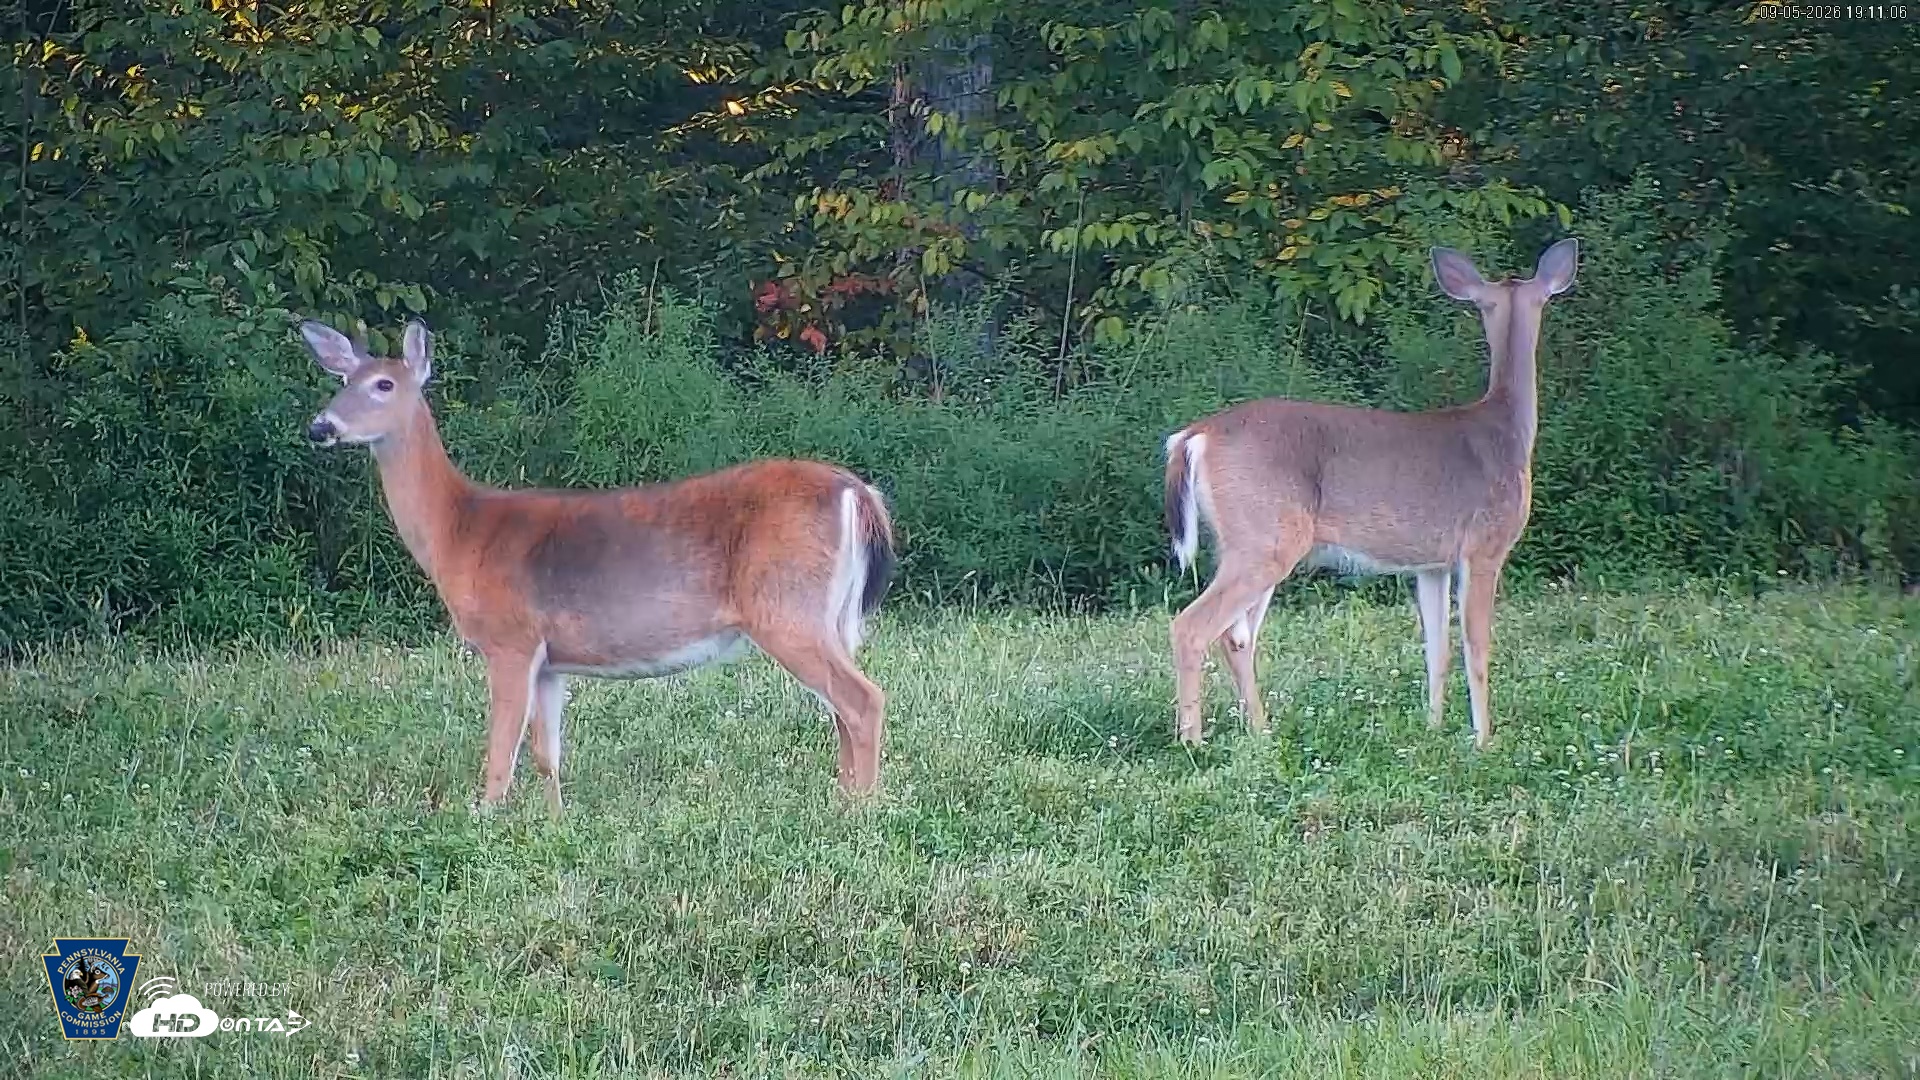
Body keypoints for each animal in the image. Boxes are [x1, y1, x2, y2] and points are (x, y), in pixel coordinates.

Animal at [298, 318, 896, 815]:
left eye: (383, 384)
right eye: (343, 378)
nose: (320, 427)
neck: (459, 530)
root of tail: (855, 490)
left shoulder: (510, 639)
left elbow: (500, 752)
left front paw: (483, 821)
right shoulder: (550, 659)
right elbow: (547, 754)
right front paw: (556, 822)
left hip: (785, 608)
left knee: (862, 700)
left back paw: (859, 811)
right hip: (826, 616)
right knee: (841, 706)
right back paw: (844, 797)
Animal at [1161, 238, 1578, 749]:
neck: (1506, 432)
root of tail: (1194, 436)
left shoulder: (1431, 564)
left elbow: (1436, 646)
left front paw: (1433, 727)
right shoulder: (1485, 544)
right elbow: (1476, 644)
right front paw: (1483, 740)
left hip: (1249, 540)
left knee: (1237, 636)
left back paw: (1261, 731)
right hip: (1264, 536)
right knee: (1192, 626)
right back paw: (1193, 740)